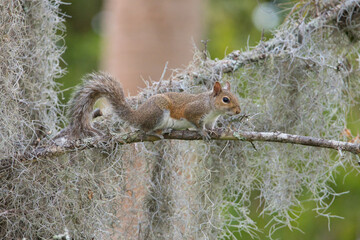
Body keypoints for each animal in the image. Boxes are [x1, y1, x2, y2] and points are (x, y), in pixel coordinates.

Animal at [63, 71, 240, 139]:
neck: (212, 109)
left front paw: (215, 131)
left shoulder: (211, 119)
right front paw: (202, 132)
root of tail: (138, 115)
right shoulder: (193, 111)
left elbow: (210, 126)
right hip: (158, 114)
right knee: (145, 130)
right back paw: (156, 133)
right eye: (226, 99)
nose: (238, 111)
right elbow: (196, 123)